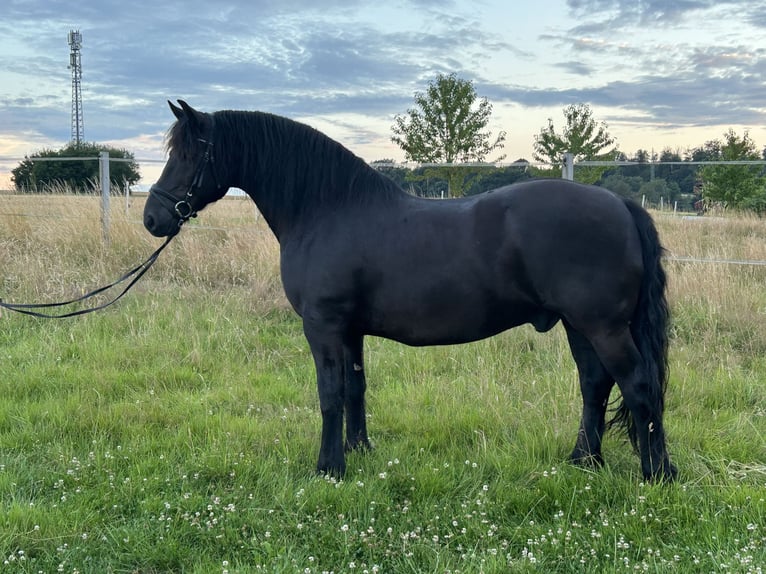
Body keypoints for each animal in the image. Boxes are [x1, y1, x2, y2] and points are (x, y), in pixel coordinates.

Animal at [144, 101, 680, 484]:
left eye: (188, 154)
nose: (153, 218)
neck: (327, 210)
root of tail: (620, 204)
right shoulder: (350, 331)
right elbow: (355, 388)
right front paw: (358, 451)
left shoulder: (323, 325)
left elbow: (329, 393)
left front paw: (328, 468)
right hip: (579, 325)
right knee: (595, 384)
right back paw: (583, 461)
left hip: (602, 326)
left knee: (638, 384)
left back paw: (656, 475)